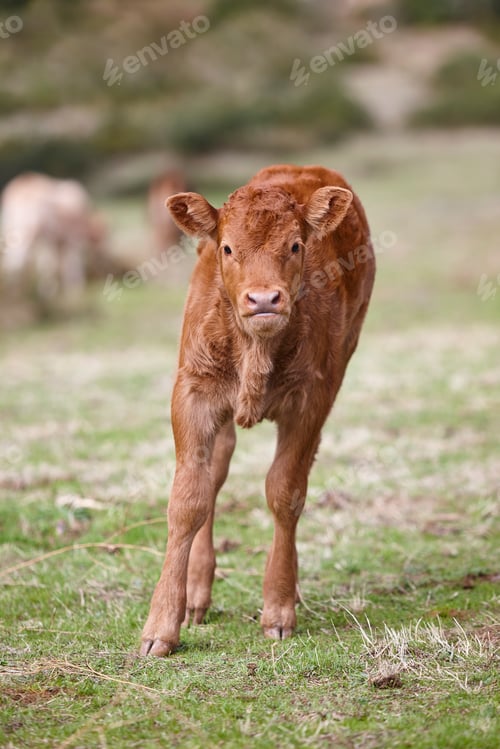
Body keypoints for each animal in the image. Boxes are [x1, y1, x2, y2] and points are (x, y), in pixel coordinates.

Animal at [141, 164, 375, 657]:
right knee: (214, 473)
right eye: (228, 247)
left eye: (296, 245)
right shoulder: (191, 393)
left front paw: (279, 609)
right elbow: (187, 499)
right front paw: (161, 626)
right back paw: (196, 595)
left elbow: (285, 491)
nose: (264, 299)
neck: (254, 350)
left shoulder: (311, 401)